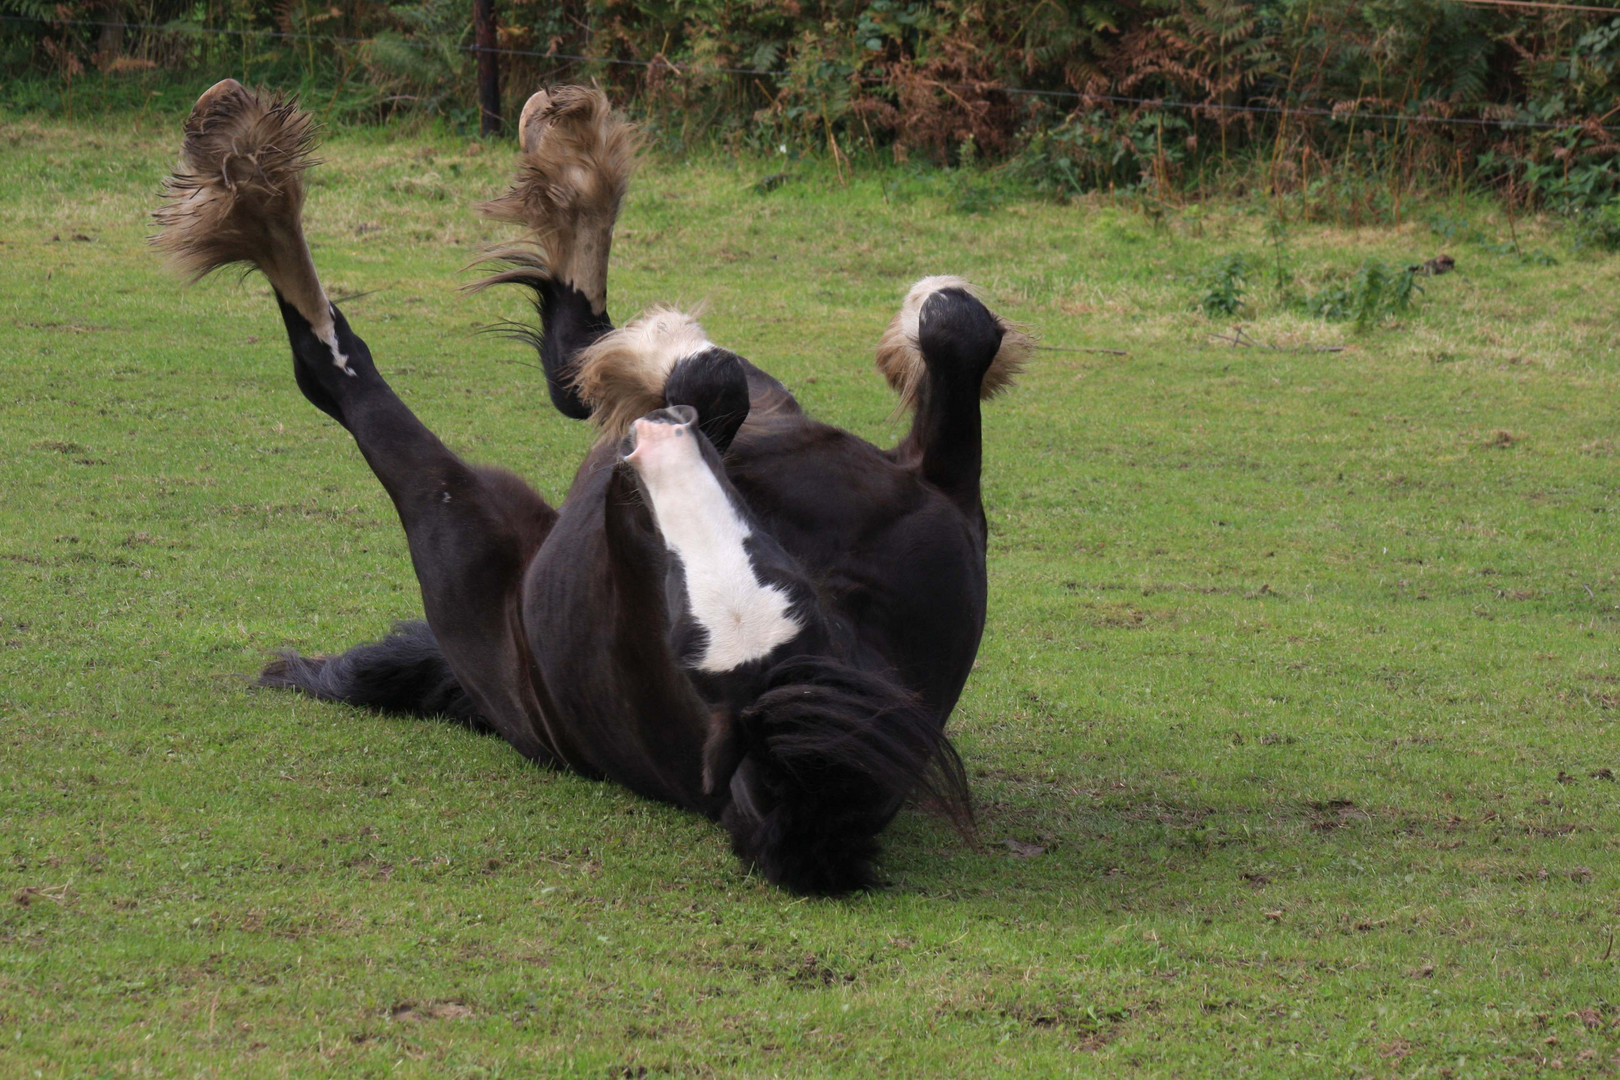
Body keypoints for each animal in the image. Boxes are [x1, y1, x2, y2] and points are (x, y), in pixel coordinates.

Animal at [154, 80, 1036, 893]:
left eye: (690, 639)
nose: (654, 448)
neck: (851, 582)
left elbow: (705, 374)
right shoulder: (941, 498)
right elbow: (955, 326)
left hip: (461, 526)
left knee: (348, 377)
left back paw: (256, 182)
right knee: (585, 357)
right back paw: (573, 170)